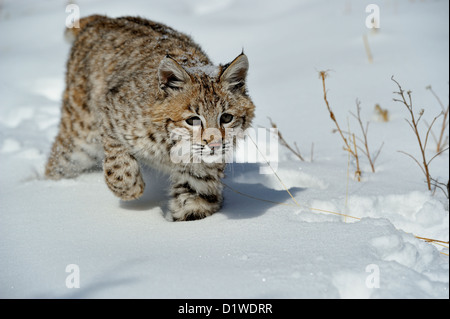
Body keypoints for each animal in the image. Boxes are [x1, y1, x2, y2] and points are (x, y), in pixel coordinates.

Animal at [47, 15, 256, 222]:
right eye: (193, 120)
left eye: (226, 118)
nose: (215, 145)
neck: (170, 145)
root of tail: (105, 18)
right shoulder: (110, 110)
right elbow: (117, 157)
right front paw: (130, 189)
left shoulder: (199, 179)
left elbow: (192, 207)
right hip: (79, 139)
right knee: (57, 162)